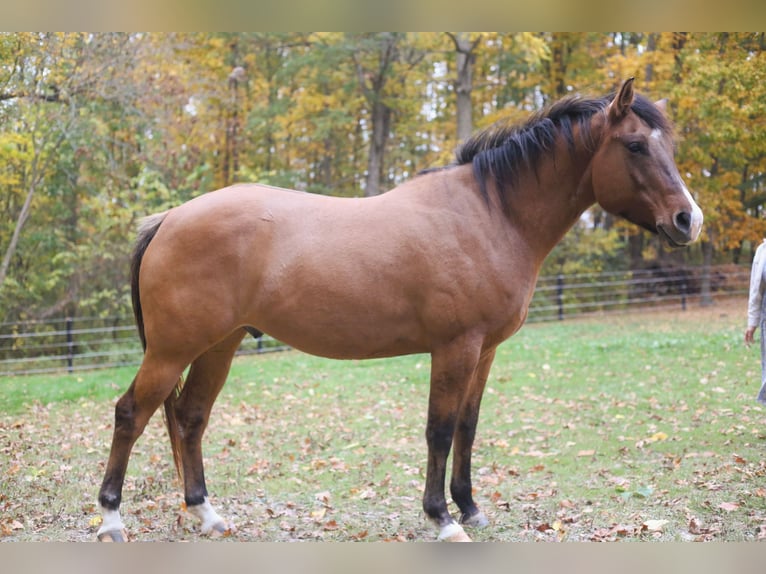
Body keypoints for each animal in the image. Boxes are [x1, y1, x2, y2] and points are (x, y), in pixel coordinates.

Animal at [96, 78, 702, 542]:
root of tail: (169, 219)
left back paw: (206, 513)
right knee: (131, 414)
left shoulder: (484, 352)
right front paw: (442, 519)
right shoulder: (455, 348)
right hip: (172, 350)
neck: (490, 216)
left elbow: (467, 427)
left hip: (218, 346)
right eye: (634, 146)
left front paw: (470, 508)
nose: (688, 221)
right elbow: (439, 430)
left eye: (665, 145)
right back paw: (111, 520)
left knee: (190, 417)